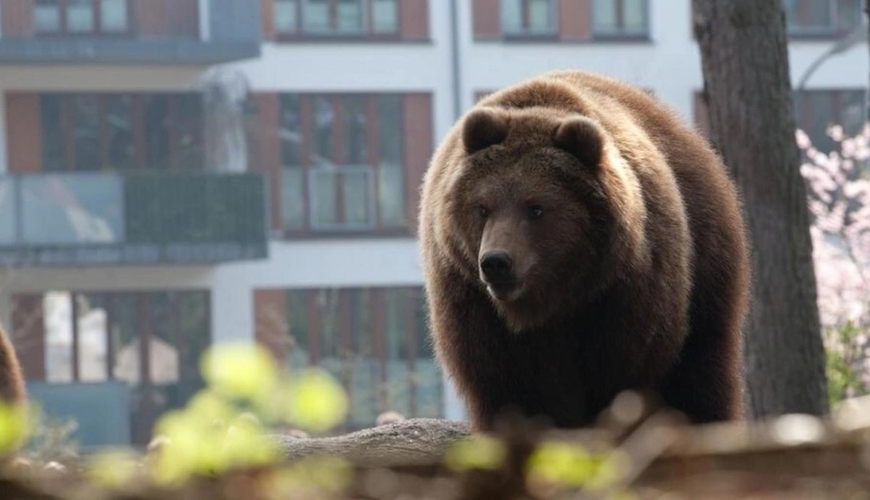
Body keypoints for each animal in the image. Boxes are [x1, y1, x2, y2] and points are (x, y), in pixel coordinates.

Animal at [418, 70, 750, 432]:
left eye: (535, 208)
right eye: (482, 208)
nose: (496, 262)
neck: (551, 302)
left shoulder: (623, 295)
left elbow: (620, 377)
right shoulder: (475, 307)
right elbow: (512, 388)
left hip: (706, 272)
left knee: (702, 371)